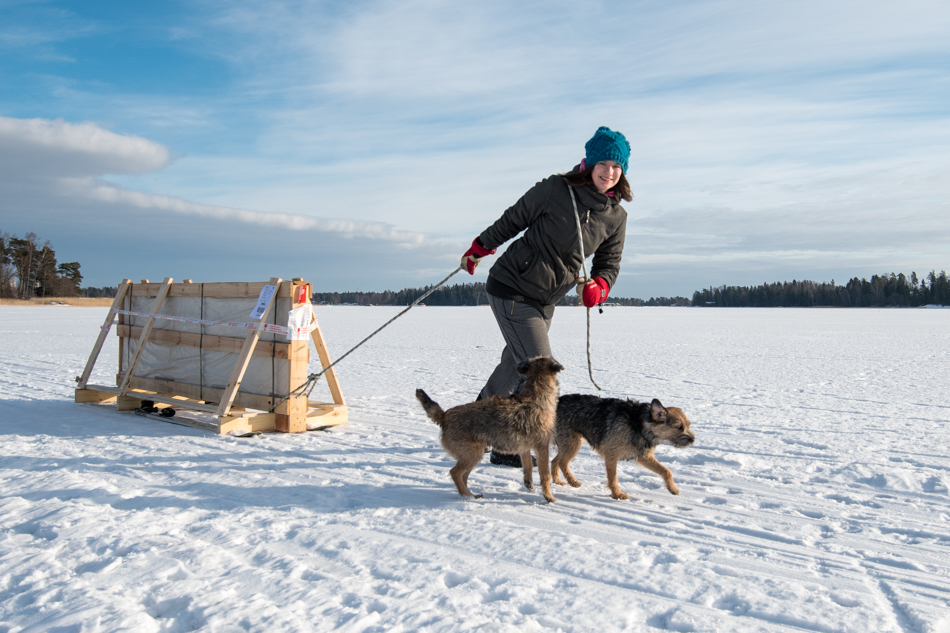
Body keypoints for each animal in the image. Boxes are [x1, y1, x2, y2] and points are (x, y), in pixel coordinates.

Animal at [416, 358, 564, 502]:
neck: (536, 391)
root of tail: (444, 416)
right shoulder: (542, 447)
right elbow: (545, 475)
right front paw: (549, 497)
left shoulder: (524, 448)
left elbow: (527, 466)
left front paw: (529, 483)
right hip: (472, 455)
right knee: (455, 473)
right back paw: (467, 496)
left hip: (473, 456)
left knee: (463, 476)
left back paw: (470, 495)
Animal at [552, 396, 700, 498]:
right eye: (678, 427)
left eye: (688, 425)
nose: (692, 439)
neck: (640, 425)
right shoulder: (611, 456)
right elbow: (613, 478)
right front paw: (617, 495)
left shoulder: (644, 456)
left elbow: (666, 471)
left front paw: (672, 488)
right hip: (573, 444)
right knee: (562, 462)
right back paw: (572, 481)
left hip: (569, 444)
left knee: (555, 461)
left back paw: (557, 480)